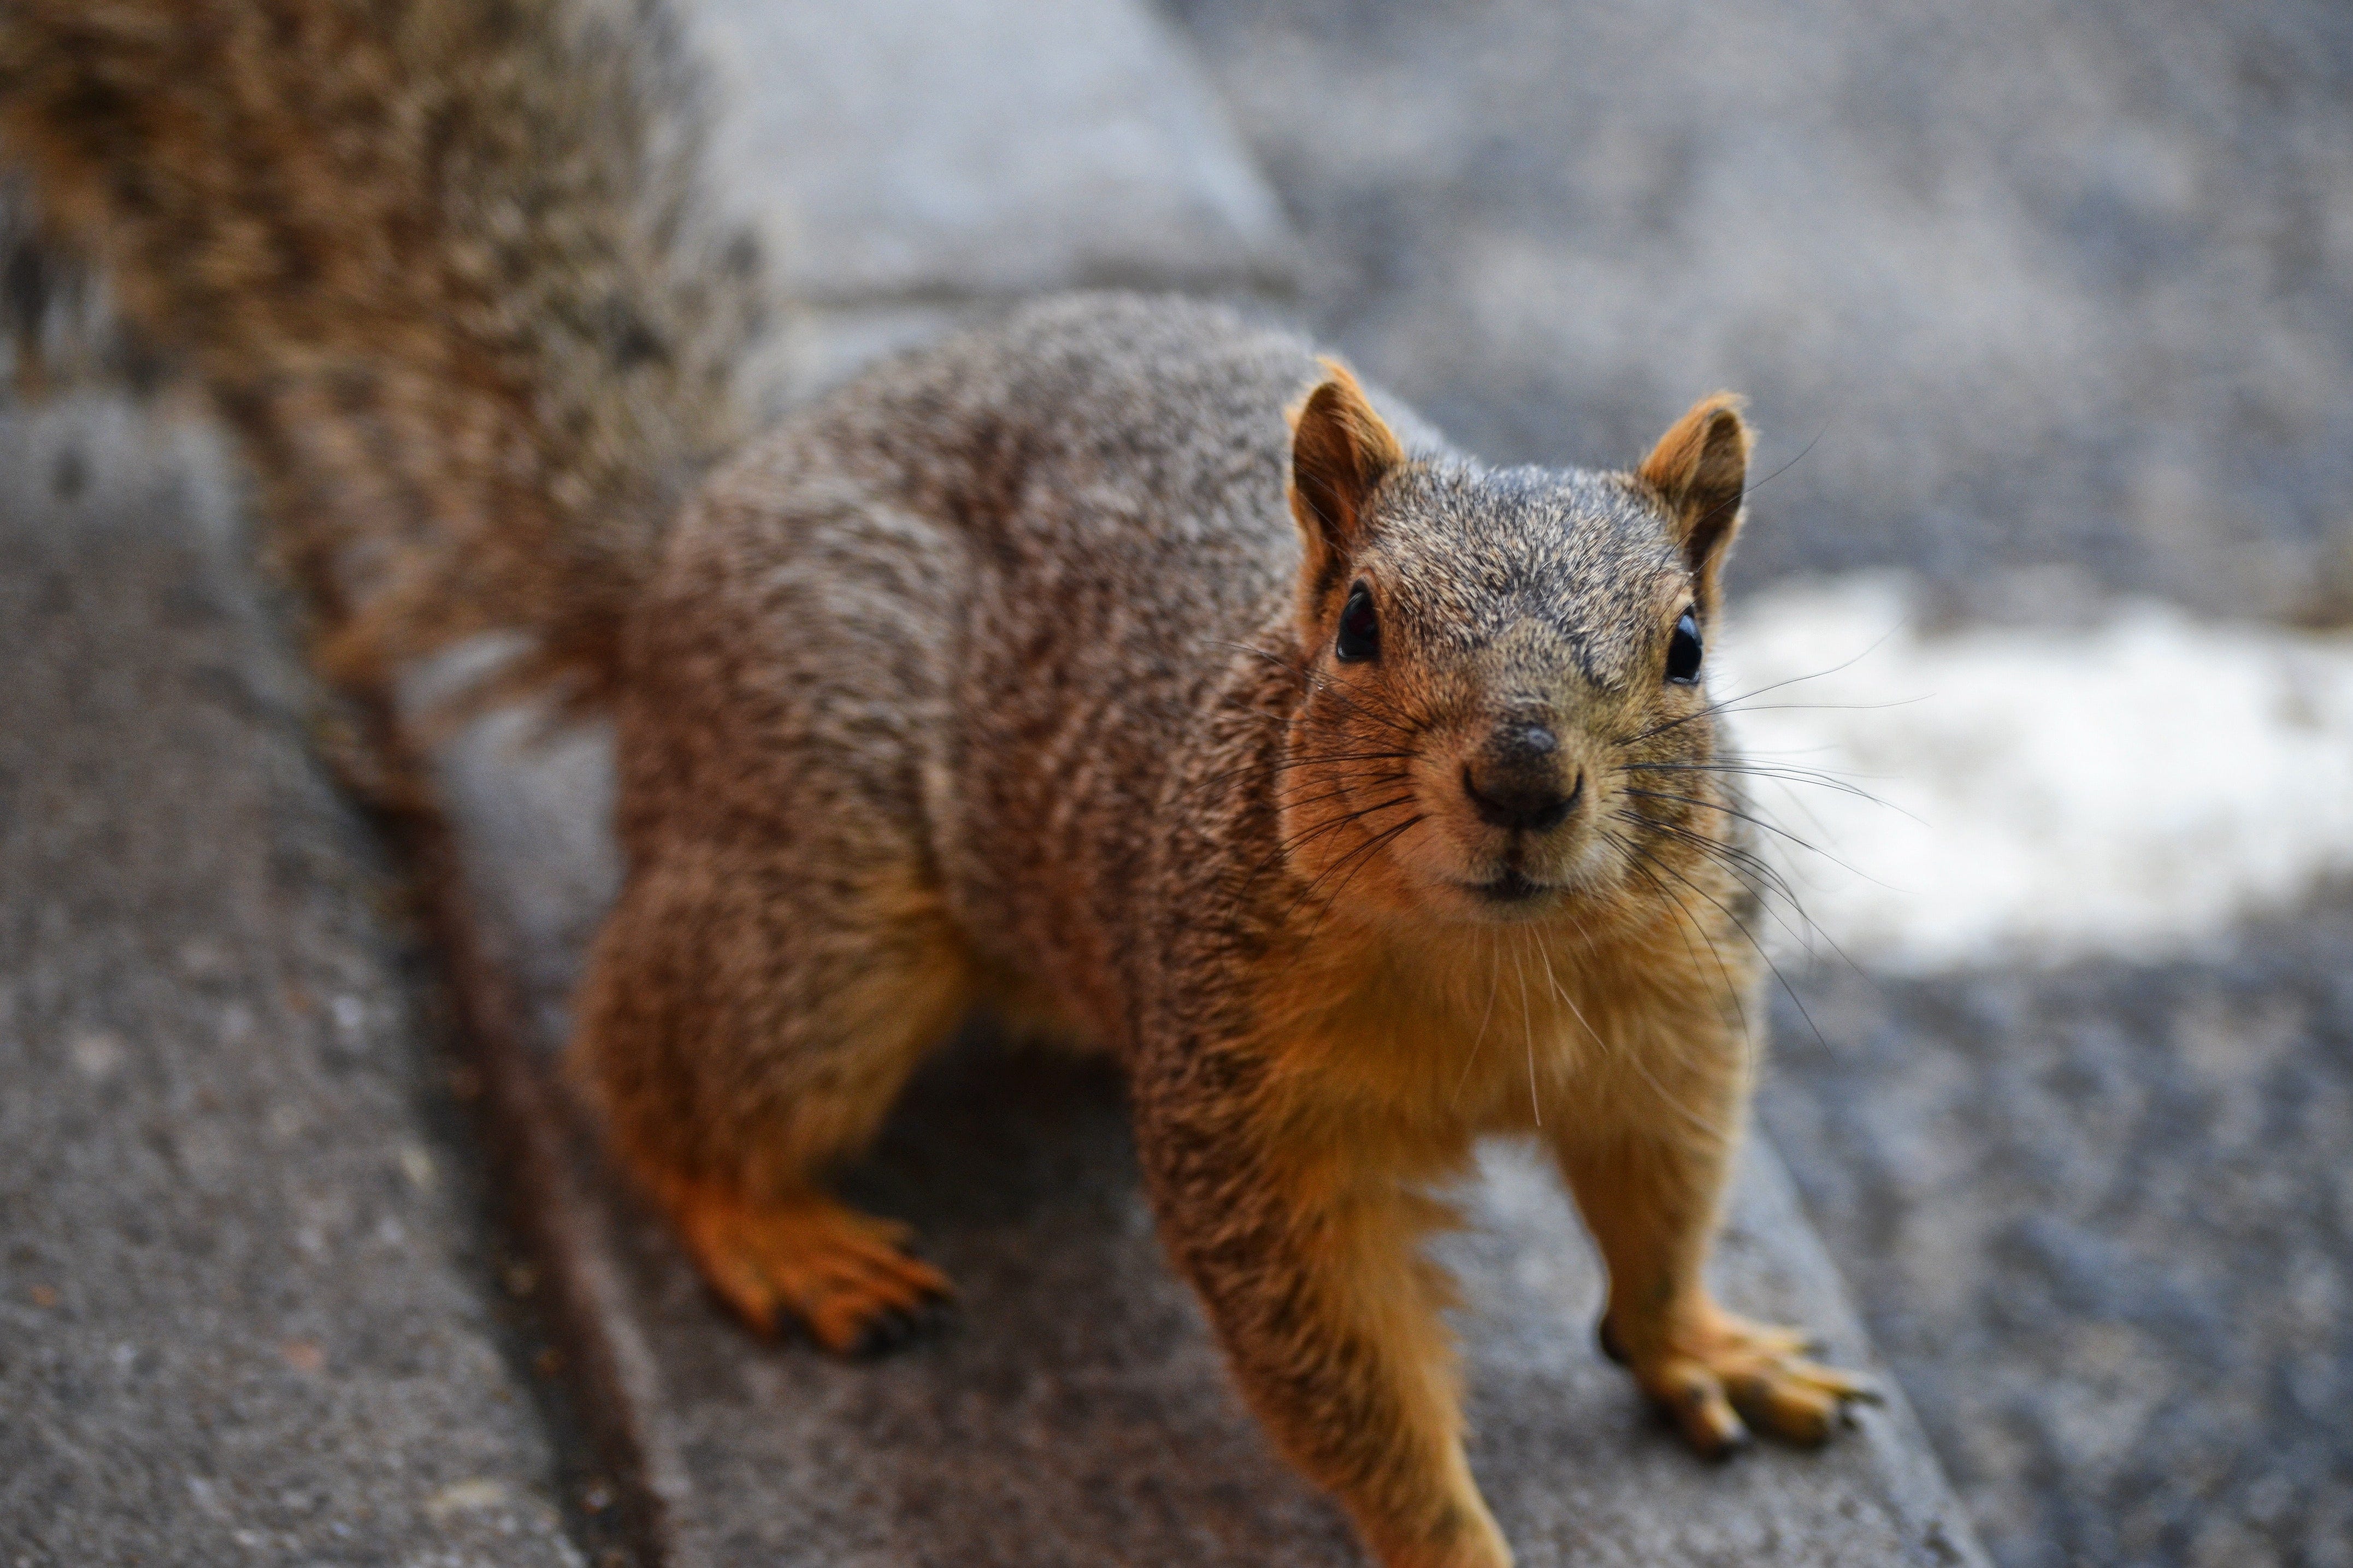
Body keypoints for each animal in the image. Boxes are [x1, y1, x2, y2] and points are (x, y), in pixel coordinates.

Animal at [3, 6, 1874, 1565]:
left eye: (1687, 643)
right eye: (1353, 622)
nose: (1521, 775)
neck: (1491, 966)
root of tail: (681, 555)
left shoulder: (1673, 1022)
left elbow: (1662, 1204)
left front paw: (1697, 1341)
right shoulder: (1248, 1108)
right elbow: (1335, 1358)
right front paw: (1449, 1540)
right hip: (821, 906)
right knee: (644, 1059)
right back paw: (774, 1229)